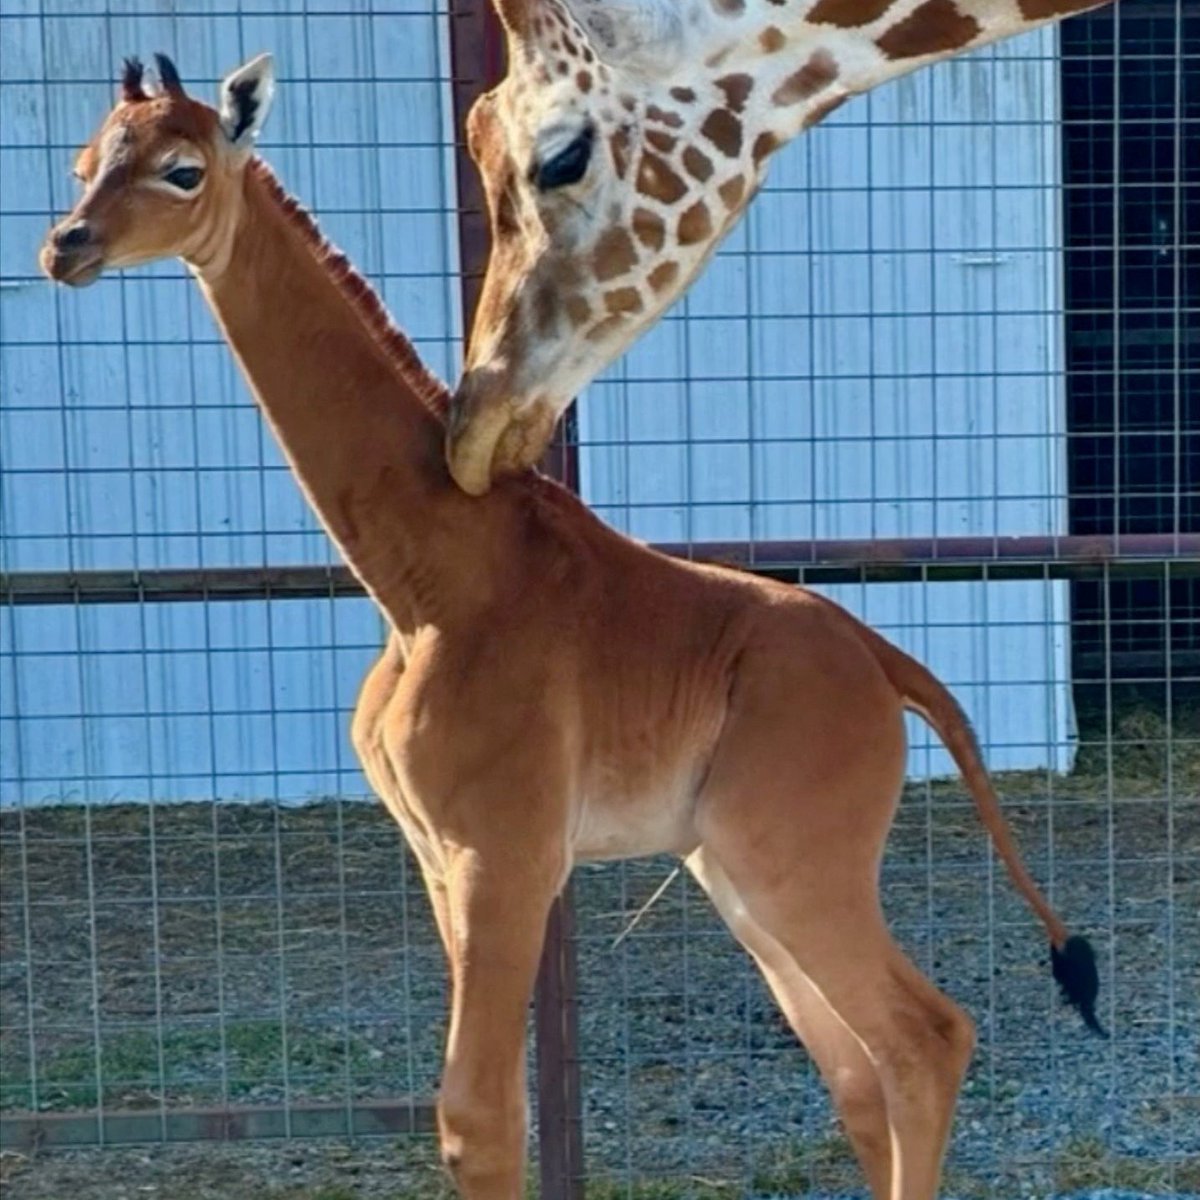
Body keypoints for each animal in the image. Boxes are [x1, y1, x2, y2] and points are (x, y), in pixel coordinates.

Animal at [42, 53, 1104, 1200]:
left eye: (183, 169)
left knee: (923, 1037)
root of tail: (885, 662)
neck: (427, 580)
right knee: (860, 1075)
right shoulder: (440, 856)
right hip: (736, 870)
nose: (66, 246)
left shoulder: (501, 849)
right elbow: (490, 1110)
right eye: (84, 161)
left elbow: (480, 1118)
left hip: (793, 860)